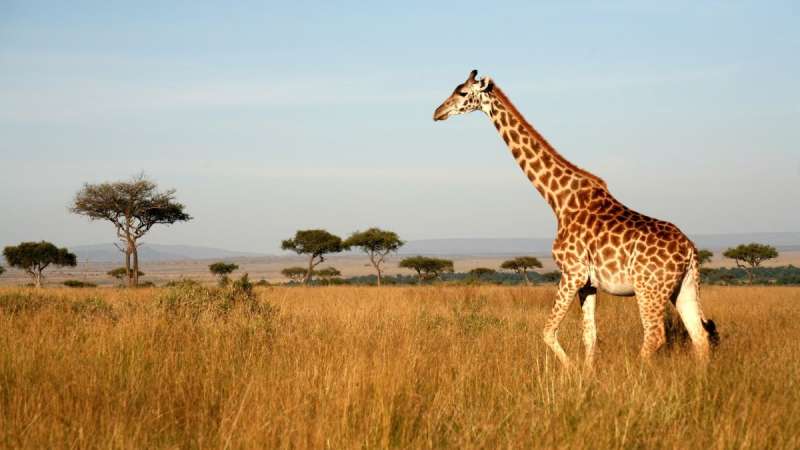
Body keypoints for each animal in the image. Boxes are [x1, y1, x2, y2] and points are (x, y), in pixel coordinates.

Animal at [433, 70, 719, 368]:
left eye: (463, 92)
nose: (437, 112)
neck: (559, 200)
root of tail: (690, 251)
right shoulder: (588, 283)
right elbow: (589, 336)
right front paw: (587, 373)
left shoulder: (572, 272)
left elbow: (548, 331)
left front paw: (571, 370)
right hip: (684, 287)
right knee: (699, 335)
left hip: (649, 288)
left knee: (655, 335)